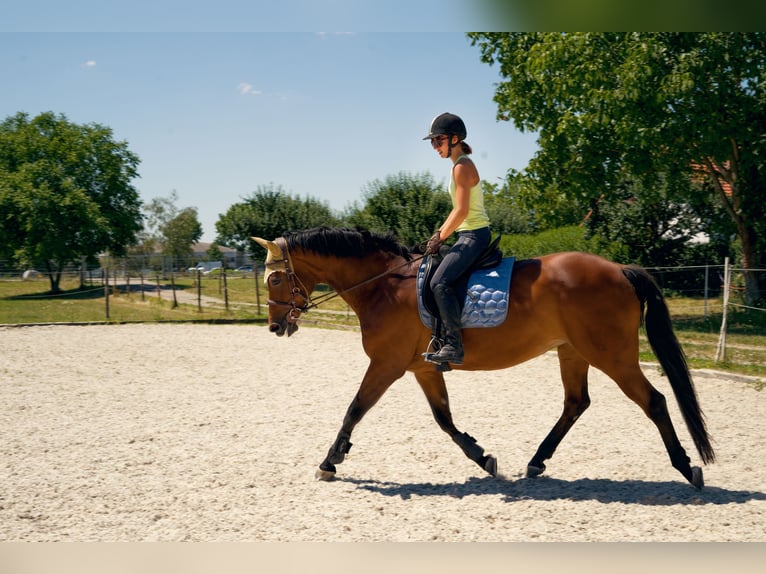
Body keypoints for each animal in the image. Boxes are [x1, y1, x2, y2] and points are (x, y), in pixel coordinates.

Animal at [255, 227, 716, 488]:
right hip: (572, 352)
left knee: (654, 401)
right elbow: (444, 419)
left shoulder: (386, 365)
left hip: (612, 355)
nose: (275, 327)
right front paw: (484, 458)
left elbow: (354, 409)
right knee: (576, 403)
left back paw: (687, 468)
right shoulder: (422, 367)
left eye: (274, 278)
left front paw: (329, 462)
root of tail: (619, 269)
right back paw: (536, 462)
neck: (385, 285)